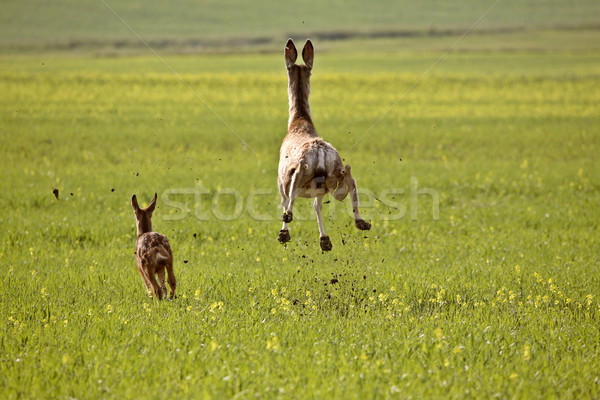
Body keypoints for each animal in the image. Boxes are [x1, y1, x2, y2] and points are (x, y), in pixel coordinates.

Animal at [278, 37, 370, 250]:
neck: (298, 122)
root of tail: (319, 152)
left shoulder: (280, 181)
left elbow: (286, 200)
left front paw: (285, 231)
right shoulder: (320, 190)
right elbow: (317, 206)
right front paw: (324, 239)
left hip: (298, 174)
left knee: (292, 189)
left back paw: (286, 226)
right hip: (332, 175)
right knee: (349, 178)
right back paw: (361, 222)